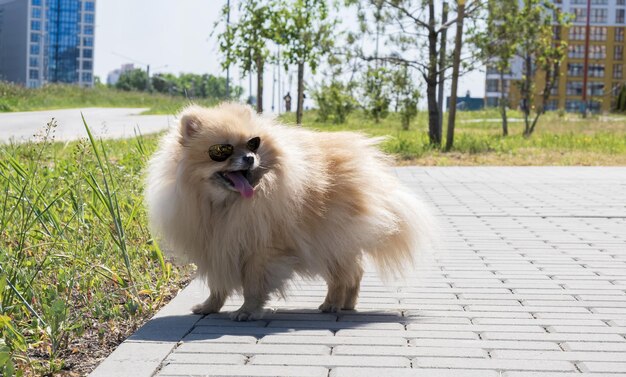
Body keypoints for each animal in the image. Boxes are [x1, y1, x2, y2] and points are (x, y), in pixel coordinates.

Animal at [144, 103, 432, 320]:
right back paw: (345, 303)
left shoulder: (261, 250)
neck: (225, 206)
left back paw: (333, 303)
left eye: (253, 144)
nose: (249, 158)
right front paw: (209, 307)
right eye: (222, 151)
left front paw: (247, 311)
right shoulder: (216, 245)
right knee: (353, 272)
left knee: (344, 274)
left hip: (328, 240)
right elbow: (218, 283)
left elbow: (252, 285)